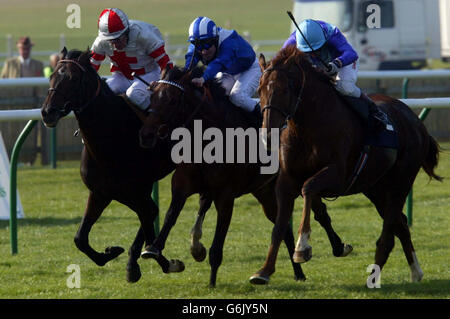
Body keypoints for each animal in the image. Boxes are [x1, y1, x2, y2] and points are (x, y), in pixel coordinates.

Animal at [40, 47, 190, 282]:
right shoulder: (101, 192)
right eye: (51, 76)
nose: (48, 112)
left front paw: (165, 263)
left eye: (72, 79)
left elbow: (150, 226)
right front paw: (112, 253)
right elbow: (80, 238)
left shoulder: (137, 191)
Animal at [139, 65, 354, 288]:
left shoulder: (225, 195)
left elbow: (217, 243)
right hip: (266, 192)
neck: (208, 138)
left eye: (172, 100)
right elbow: (170, 216)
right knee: (284, 227)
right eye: (151, 95)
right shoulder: (183, 185)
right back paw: (297, 272)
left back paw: (337, 247)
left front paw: (212, 283)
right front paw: (153, 248)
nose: (146, 134)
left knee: (319, 212)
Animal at [253, 45, 442, 284]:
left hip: (401, 181)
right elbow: (279, 227)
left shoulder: (337, 174)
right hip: (376, 187)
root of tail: (416, 121)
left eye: (285, 90)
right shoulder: (286, 180)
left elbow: (308, 188)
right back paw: (415, 271)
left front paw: (302, 248)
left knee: (389, 233)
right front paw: (264, 271)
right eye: (259, 89)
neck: (308, 128)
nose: (268, 136)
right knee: (400, 224)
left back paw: (374, 277)